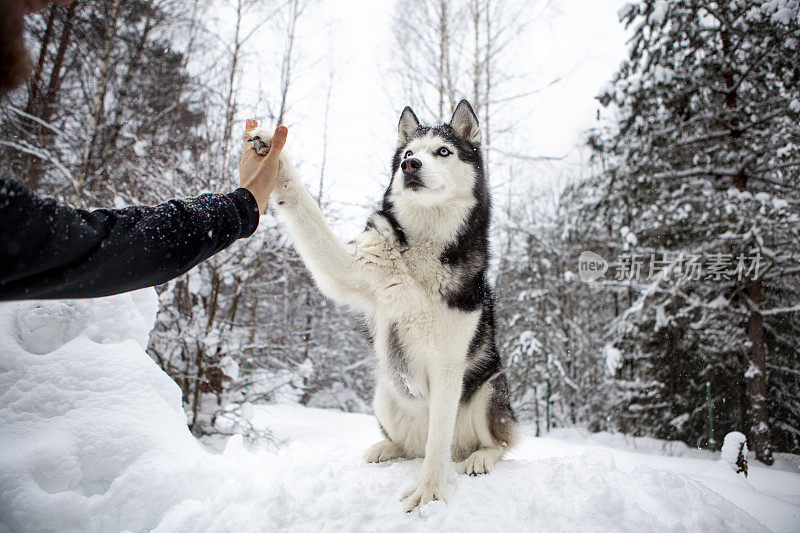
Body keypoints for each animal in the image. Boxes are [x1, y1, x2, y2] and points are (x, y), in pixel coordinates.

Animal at [248, 100, 520, 512]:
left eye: (443, 151)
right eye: (407, 154)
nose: (411, 165)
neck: (423, 250)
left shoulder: (449, 364)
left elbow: (439, 439)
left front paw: (429, 492)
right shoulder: (352, 269)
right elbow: (304, 209)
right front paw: (273, 156)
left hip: (491, 388)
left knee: (495, 443)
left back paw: (481, 457)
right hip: (385, 393)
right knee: (412, 447)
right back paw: (386, 448)